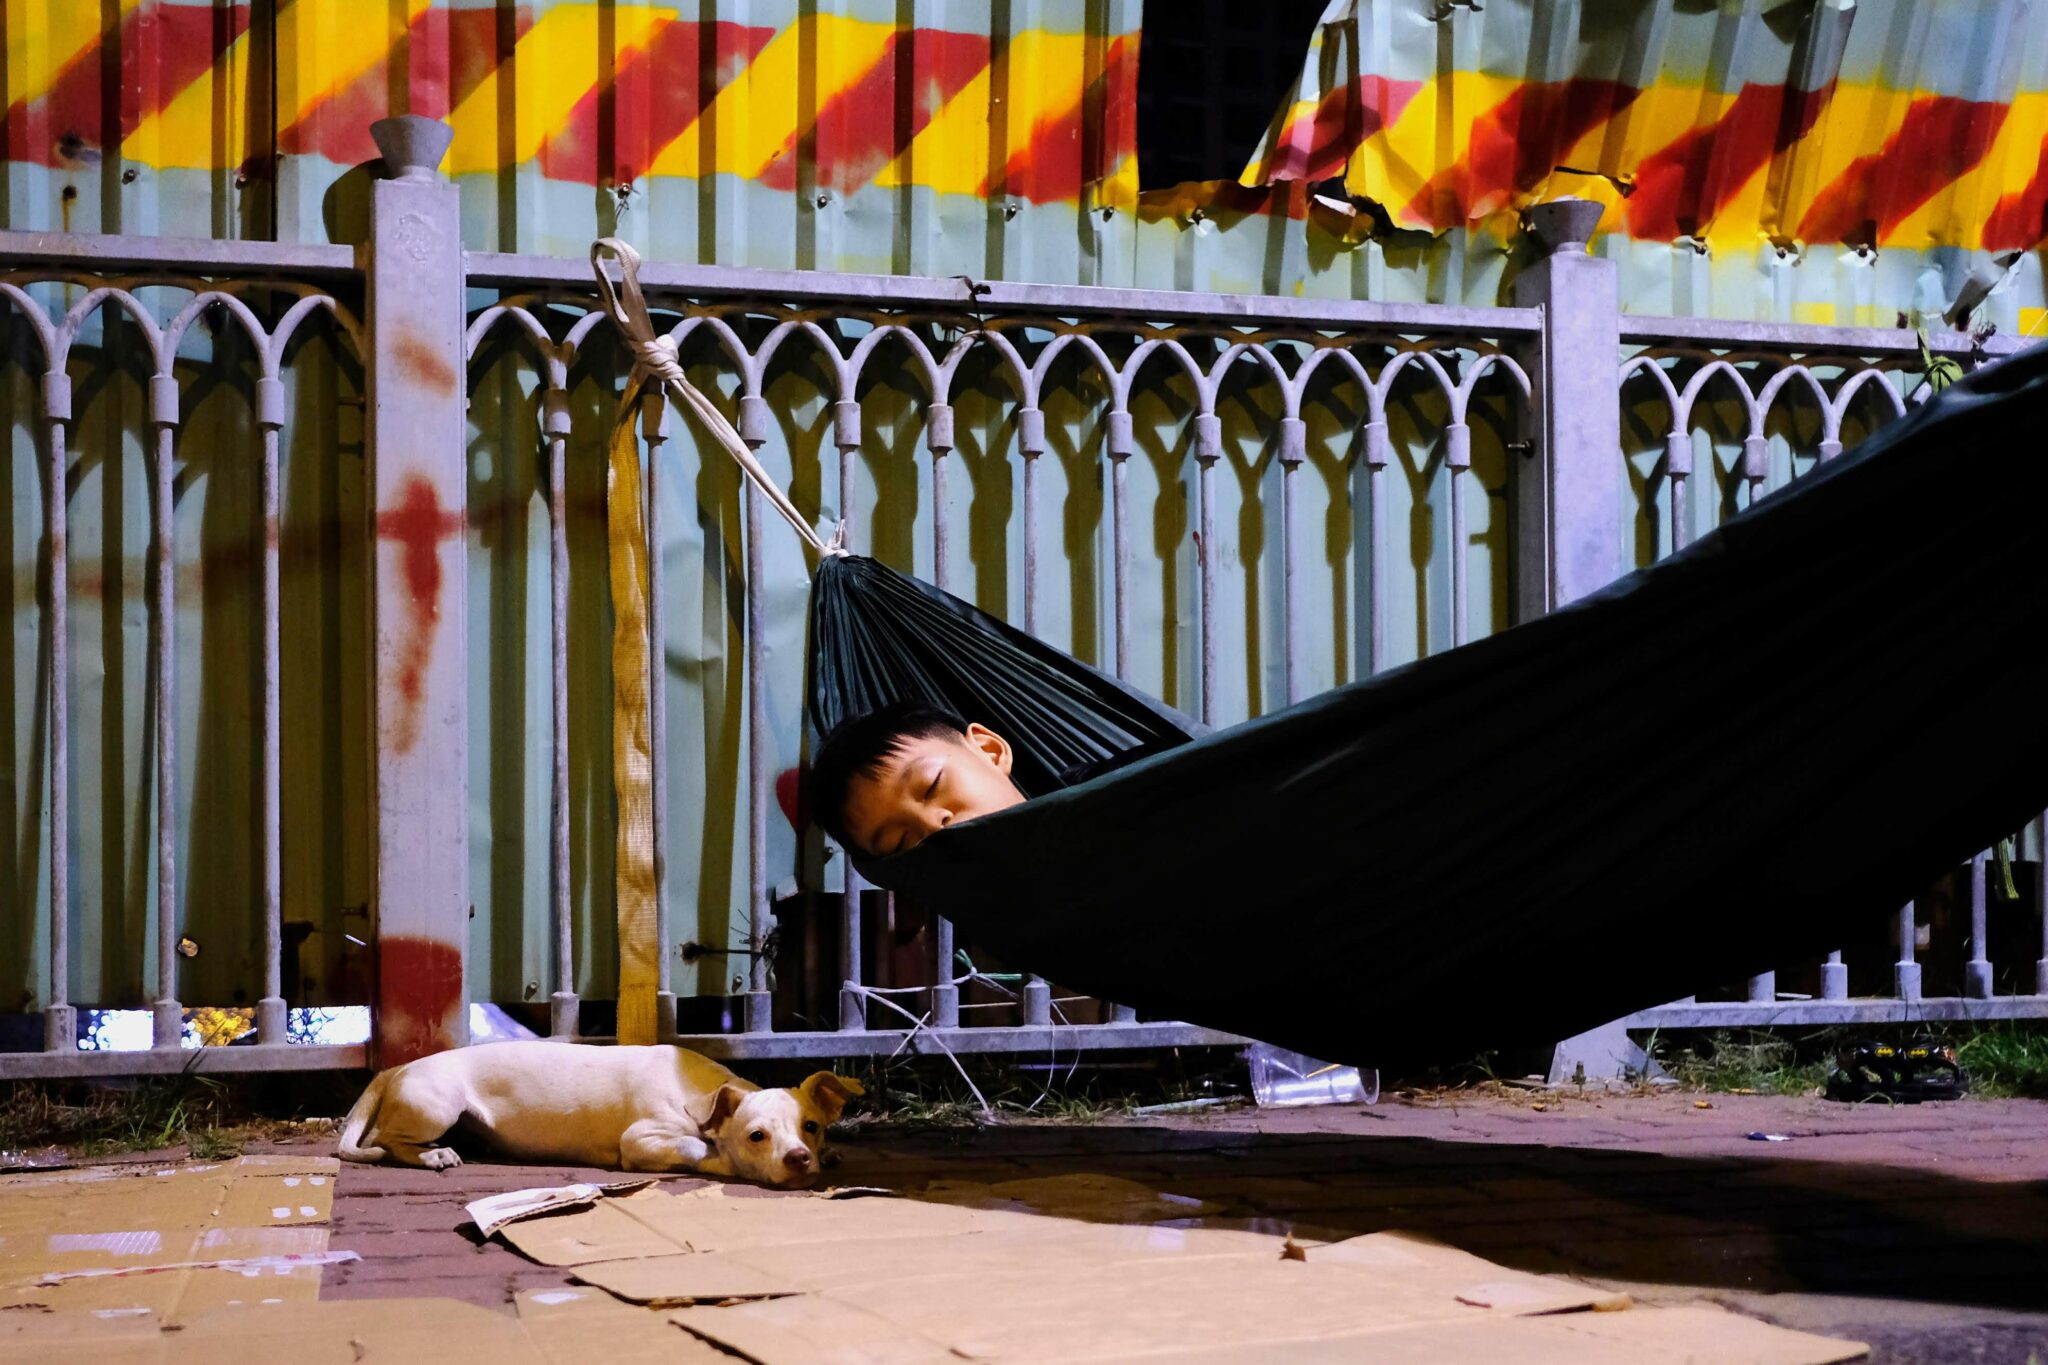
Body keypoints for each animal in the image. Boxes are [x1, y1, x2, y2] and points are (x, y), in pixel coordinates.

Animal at [331, 1047, 860, 1186]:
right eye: (756, 1136)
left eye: (811, 1127)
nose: (800, 1158)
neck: (701, 1094)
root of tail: (398, 1067)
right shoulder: (640, 1138)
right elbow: (693, 1145)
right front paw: (716, 1157)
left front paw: (833, 1154)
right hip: (437, 1106)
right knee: (387, 1141)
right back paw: (433, 1155)